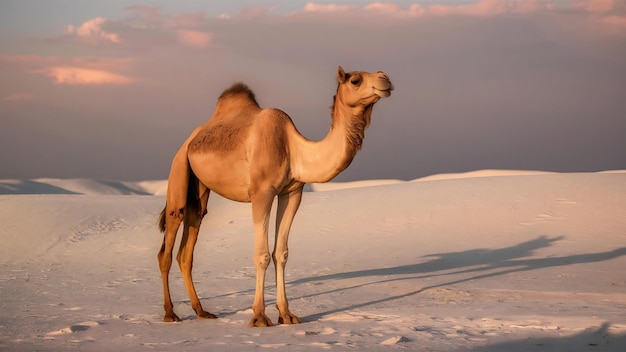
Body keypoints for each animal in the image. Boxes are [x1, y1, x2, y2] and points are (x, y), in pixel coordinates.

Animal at [155, 66, 390, 328]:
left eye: (379, 72)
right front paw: (259, 316)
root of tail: (191, 139)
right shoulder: (261, 193)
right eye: (355, 80)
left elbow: (281, 253)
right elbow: (263, 254)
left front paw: (287, 314)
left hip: (199, 189)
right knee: (168, 243)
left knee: (189, 242)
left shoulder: (292, 192)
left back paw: (201, 311)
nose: (385, 80)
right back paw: (170, 313)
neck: (294, 149)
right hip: (179, 169)